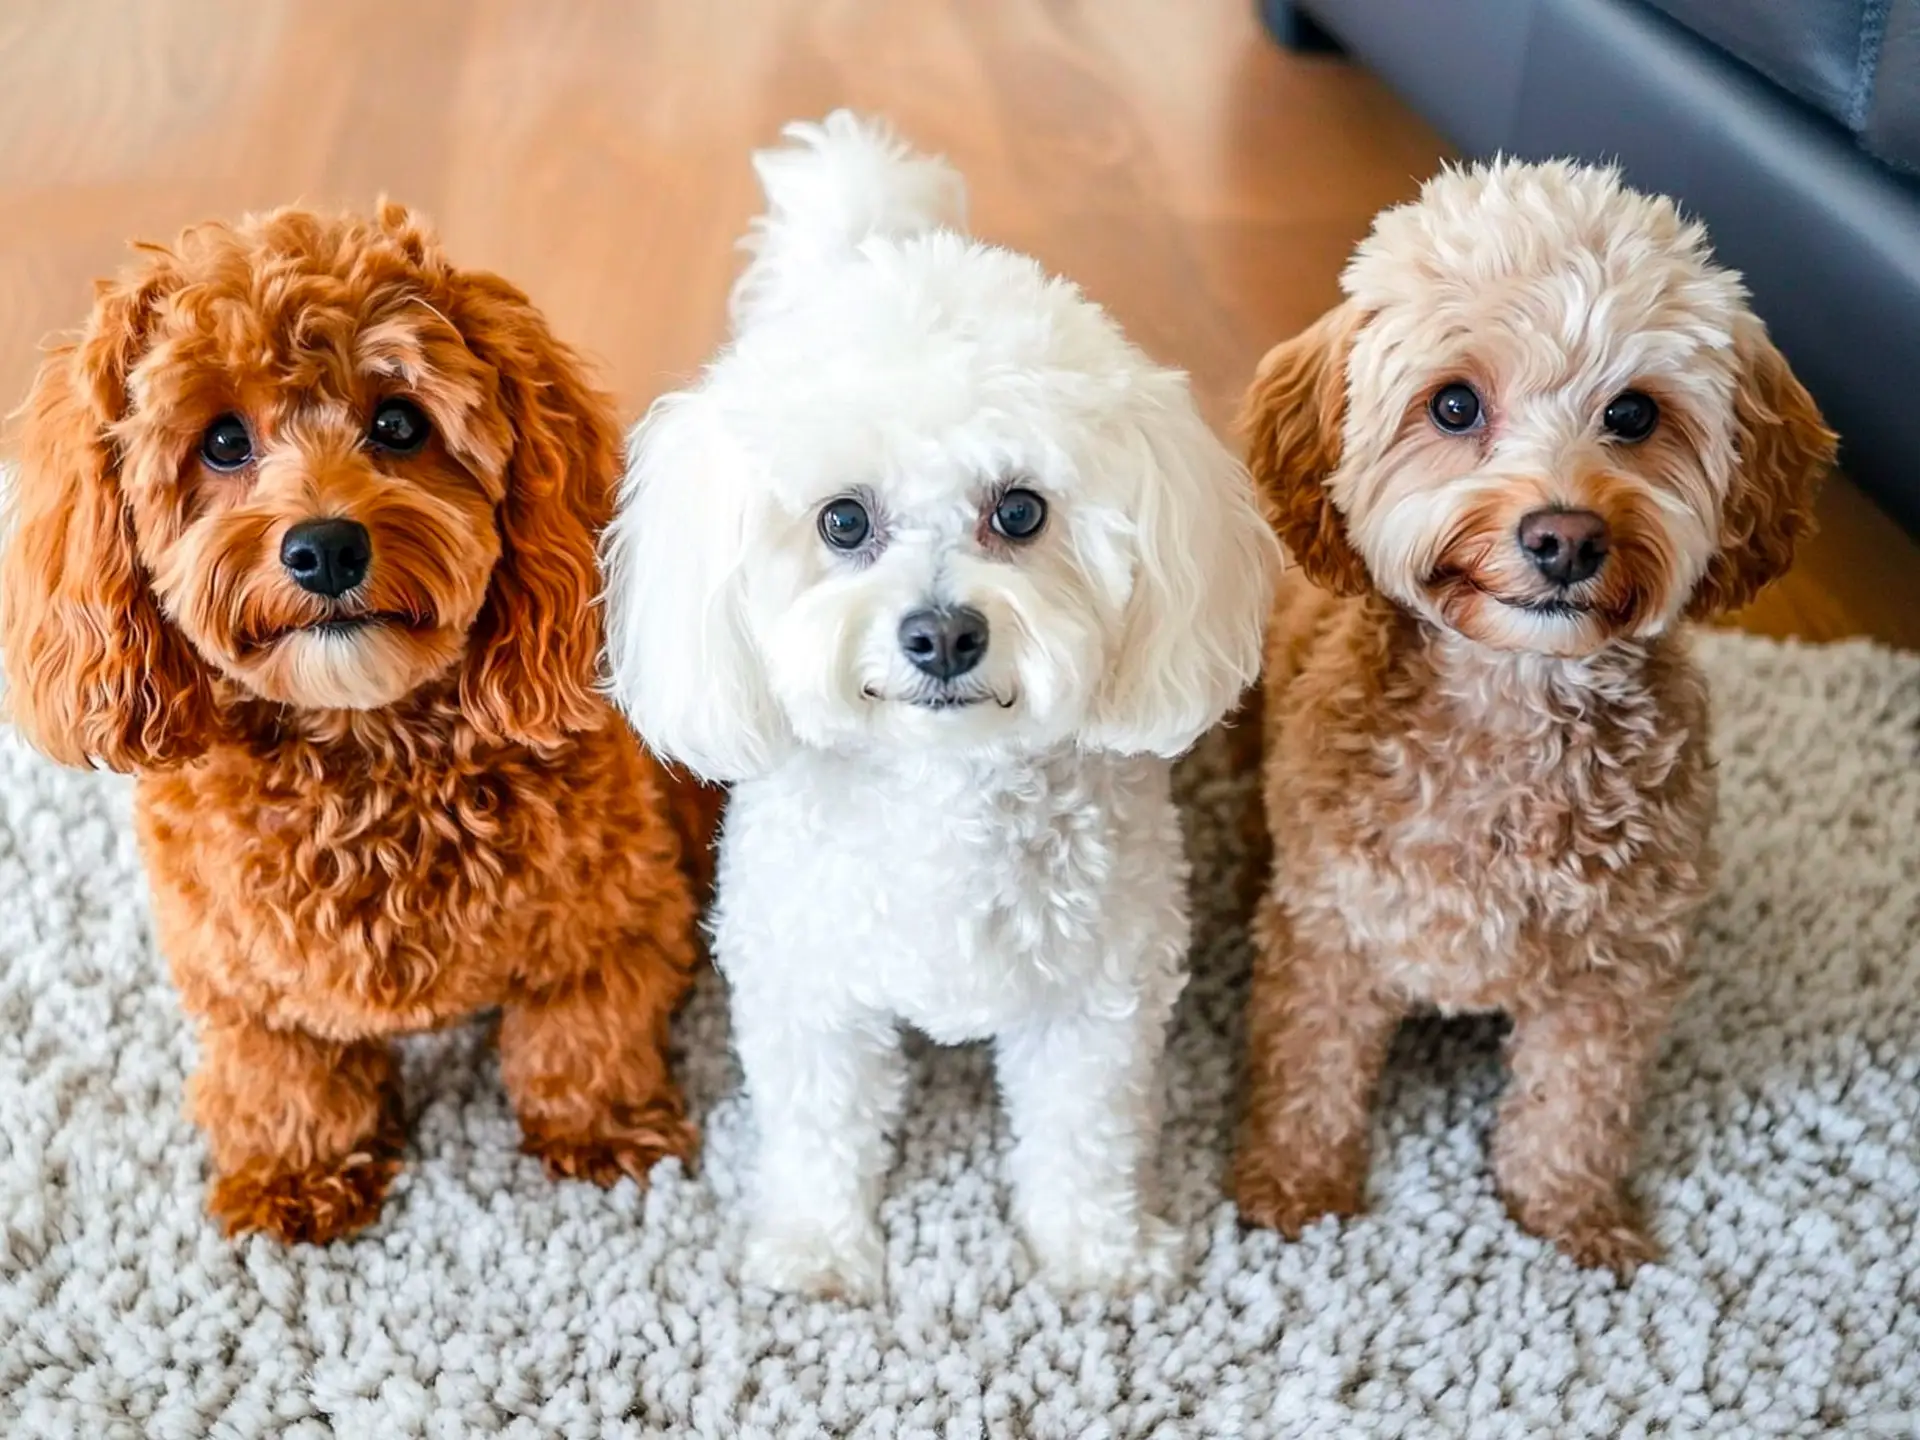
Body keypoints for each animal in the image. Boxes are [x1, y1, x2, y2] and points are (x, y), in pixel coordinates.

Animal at [1, 205, 721, 1251]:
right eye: (223, 441)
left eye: (398, 423)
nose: (327, 546)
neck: (367, 749)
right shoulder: (241, 981)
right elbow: (283, 1074)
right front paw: (297, 1176)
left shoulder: (615, 912)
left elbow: (584, 1030)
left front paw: (605, 1132)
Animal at [1228, 163, 1827, 1282]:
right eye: (1454, 404)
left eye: (1633, 414)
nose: (1565, 536)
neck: (1513, 704)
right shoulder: (1331, 932)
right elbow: (1310, 1069)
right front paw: (1296, 1192)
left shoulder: (1618, 970)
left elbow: (1576, 1105)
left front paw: (1570, 1220)